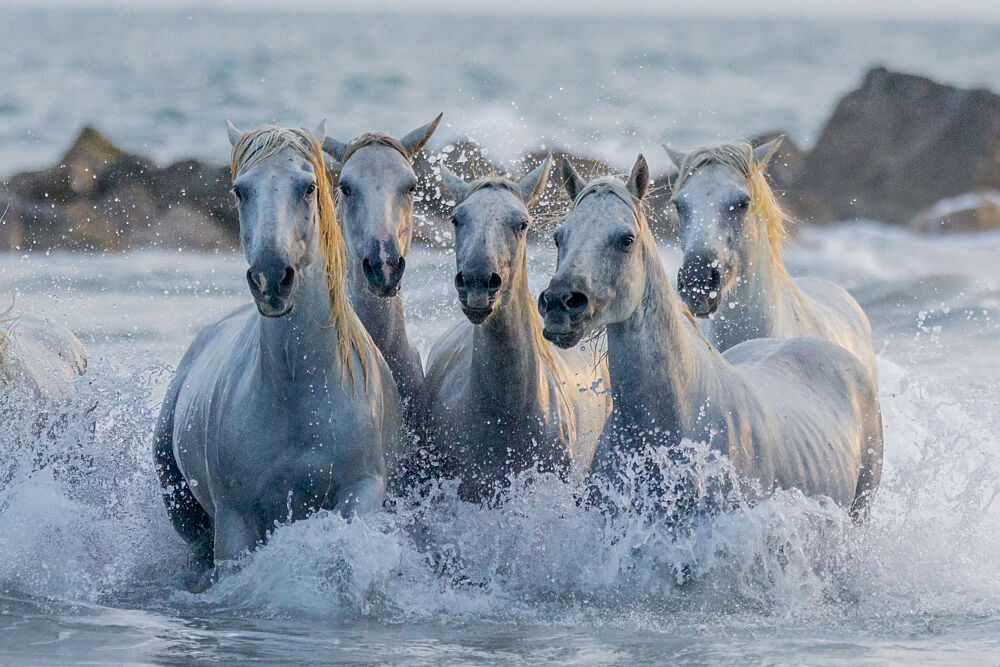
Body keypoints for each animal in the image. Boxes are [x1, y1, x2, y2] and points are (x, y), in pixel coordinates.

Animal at [153, 122, 403, 567]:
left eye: (308, 187)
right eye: (240, 190)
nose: (271, 277)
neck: (299, 383)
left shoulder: (361, 492)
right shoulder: (236, 521)